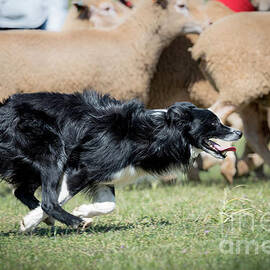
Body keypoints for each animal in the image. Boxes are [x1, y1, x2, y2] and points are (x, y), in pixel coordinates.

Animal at [0, 90, 243, 232]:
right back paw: (74, 223)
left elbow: (109, 205)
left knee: (21, 191)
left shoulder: (105, 176)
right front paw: (32, 222)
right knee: (47, 199)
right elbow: (53, 200)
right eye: (214, 123)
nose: (239, 133)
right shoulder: (82, 168)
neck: (157, 132)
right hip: (51, 151)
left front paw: (82, 210)